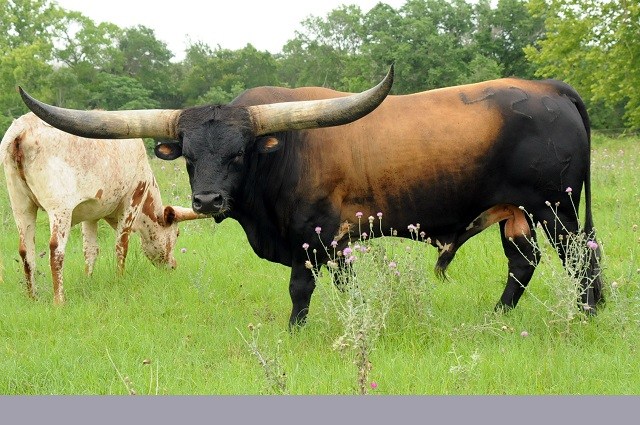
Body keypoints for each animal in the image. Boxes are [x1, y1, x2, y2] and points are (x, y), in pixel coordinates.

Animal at [0, 112, 205, 304]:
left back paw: (32, 297)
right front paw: (120, 279)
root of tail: (22, 128)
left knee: (26, 250)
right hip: (59, 207)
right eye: (177, 234)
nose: (173, 265)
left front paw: (88, 280)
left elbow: (90, 249)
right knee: (55, 249)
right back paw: (59, 300)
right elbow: (121, 245)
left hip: (21, 205)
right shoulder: (132, 200)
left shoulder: (91, 214)